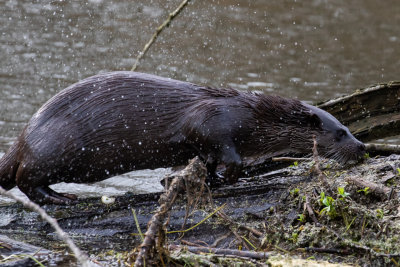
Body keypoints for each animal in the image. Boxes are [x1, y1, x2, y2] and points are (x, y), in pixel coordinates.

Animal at [0, 71, 366, 205]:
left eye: (349, 129)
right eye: (340, 132)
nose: (362, 147)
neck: (251, 117)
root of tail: (24, 136)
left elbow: (207, 161)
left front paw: (212, 179)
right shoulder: (211, 121)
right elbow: (222, 150)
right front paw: (232, 174)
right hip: (54, 149)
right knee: (25, 179)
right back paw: (62, 198)